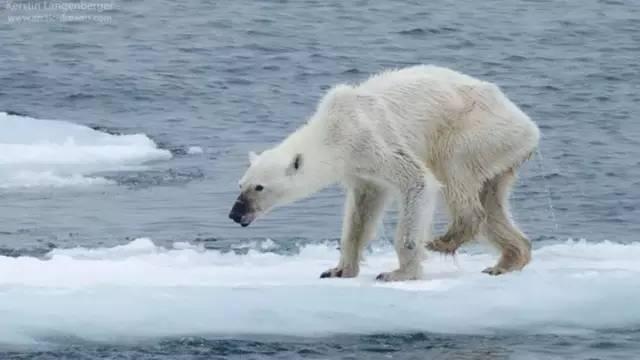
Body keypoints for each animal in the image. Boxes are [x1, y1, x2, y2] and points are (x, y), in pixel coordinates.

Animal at [230, 65, 540, 282]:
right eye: (241, 184)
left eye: (259, 187)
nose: (235, 214)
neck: (334, 130)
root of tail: (529, 126)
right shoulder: (360, 170)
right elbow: (361, 212)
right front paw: (338, 269)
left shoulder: (372, 140)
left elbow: (418, 181)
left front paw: (398, 273)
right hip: (501, 154)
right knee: (492, 202)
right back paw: (507, 260)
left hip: (476, 131)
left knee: (454, 170)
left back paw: (445, 240)